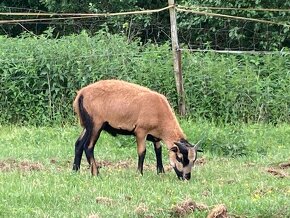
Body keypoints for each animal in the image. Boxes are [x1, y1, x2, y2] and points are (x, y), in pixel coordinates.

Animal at [72, 79, 202, 180]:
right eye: (180, 158)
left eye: (194, 160)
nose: (187, 177)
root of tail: (81, 94)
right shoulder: (141, 131)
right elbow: (142, 152)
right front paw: (139, 173)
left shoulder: (155, 136)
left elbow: (158, 150)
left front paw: (161, 172)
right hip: (96, 124)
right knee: (88, 147)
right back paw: (96, 173)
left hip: (87, 125)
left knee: (78, 144)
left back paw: (75, 170)